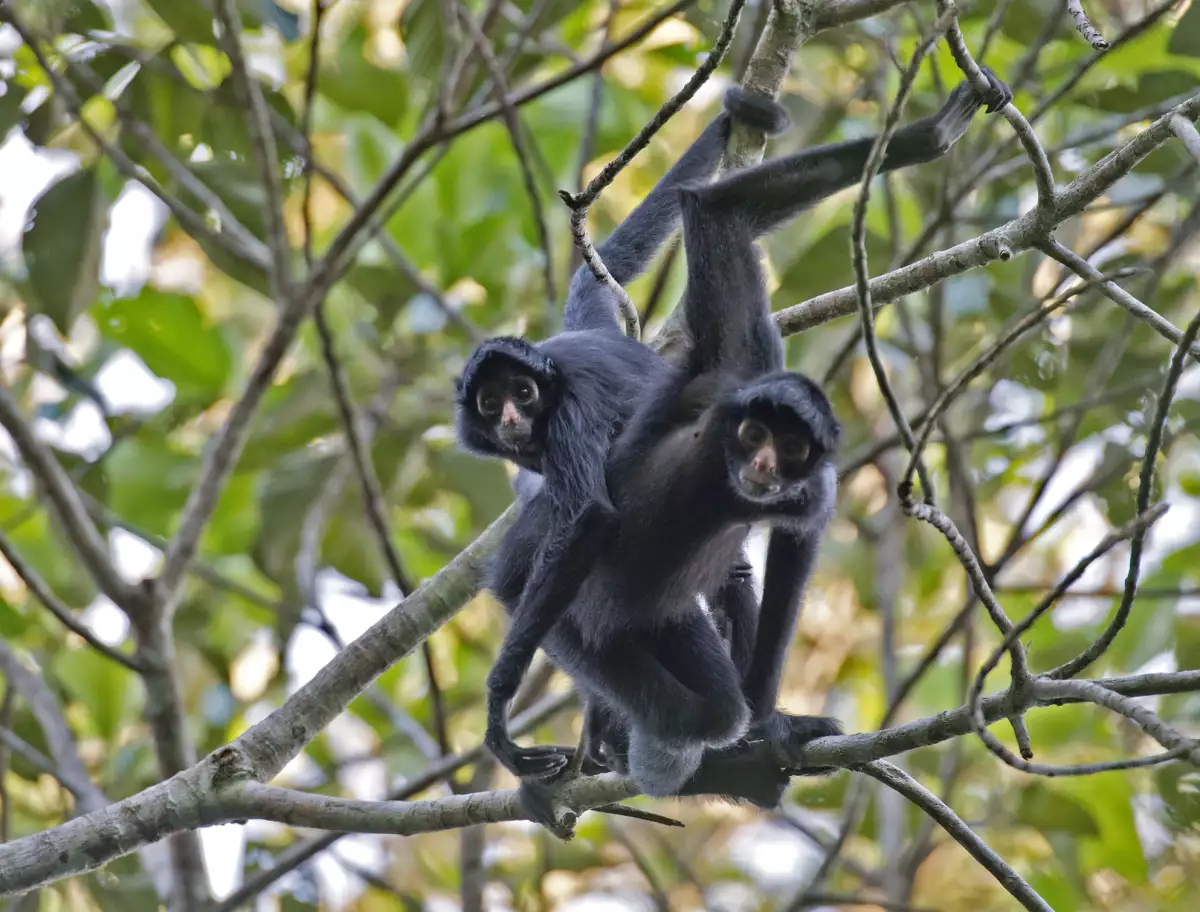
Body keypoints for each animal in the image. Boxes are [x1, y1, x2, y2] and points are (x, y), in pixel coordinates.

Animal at [481, 69, 1013, 818]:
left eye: (788, 450)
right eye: (756, 436)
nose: (762, 463)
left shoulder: (796, 473)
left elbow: (803, 533)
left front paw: (770, 720)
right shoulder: (717, 382)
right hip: (583, 621)